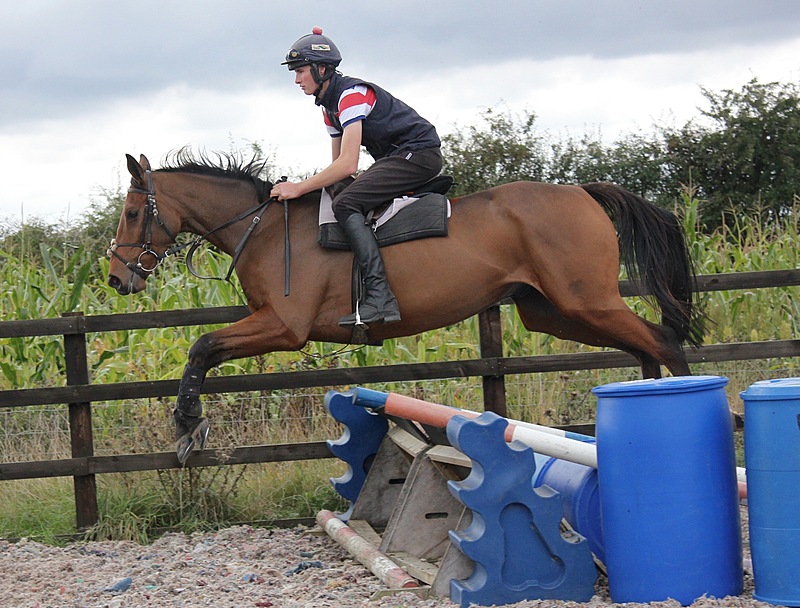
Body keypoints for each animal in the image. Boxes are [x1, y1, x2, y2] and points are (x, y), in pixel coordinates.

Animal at [108, 150, 704, 464]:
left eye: (134, 213)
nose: (116, 280)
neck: (262, 227)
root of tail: (583, 191)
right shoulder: (274, 326)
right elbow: (204, 350)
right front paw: (189, 424)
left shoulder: (284, 326)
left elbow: (201, 345)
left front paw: (187, 426)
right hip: (554, 311)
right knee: (643, 343)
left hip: (586, 300)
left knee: (662, 339)